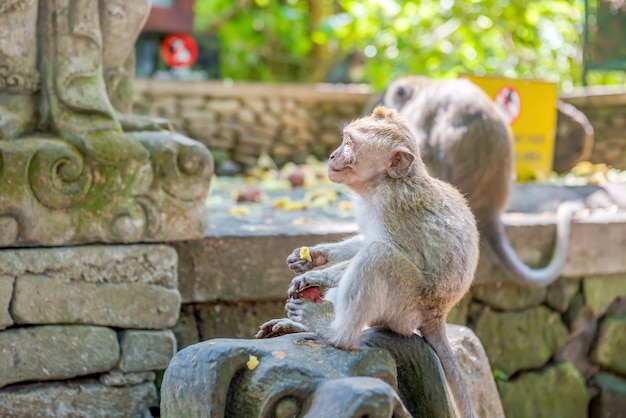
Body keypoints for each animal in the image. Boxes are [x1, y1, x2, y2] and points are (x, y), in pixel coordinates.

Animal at [256, 106, 480, 416]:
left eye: (350, 143)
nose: (332, 156)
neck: (381, 184)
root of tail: (438, 316)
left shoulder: (393, 207)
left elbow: (390, 250)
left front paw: (315, 277)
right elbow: (364, 241)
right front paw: (312, 256)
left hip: (409, 307)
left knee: (378, 258)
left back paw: (337, 333)